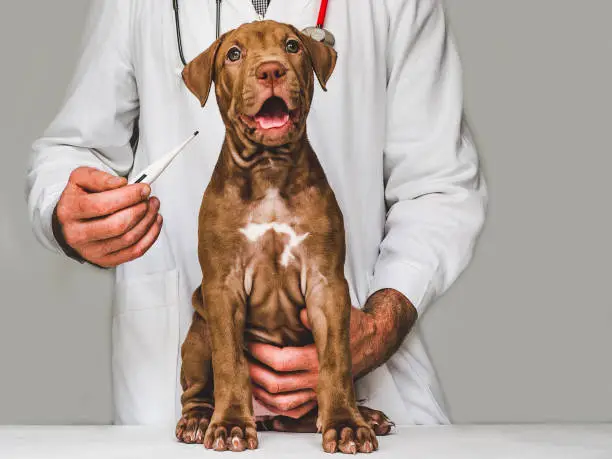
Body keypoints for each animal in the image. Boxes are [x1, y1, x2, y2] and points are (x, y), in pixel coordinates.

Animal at [175, 20, 390, 452]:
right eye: (234, 54)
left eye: (292, 46)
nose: (271, 70)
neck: (269, 169)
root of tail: (270, 417)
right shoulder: (222, 287)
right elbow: (231, 362)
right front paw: (231, 424)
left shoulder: (326, 284)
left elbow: (336, 360)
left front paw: (345, 423)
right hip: (199, 332)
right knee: (198, 386)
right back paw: (200, 419)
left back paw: (365, 418)